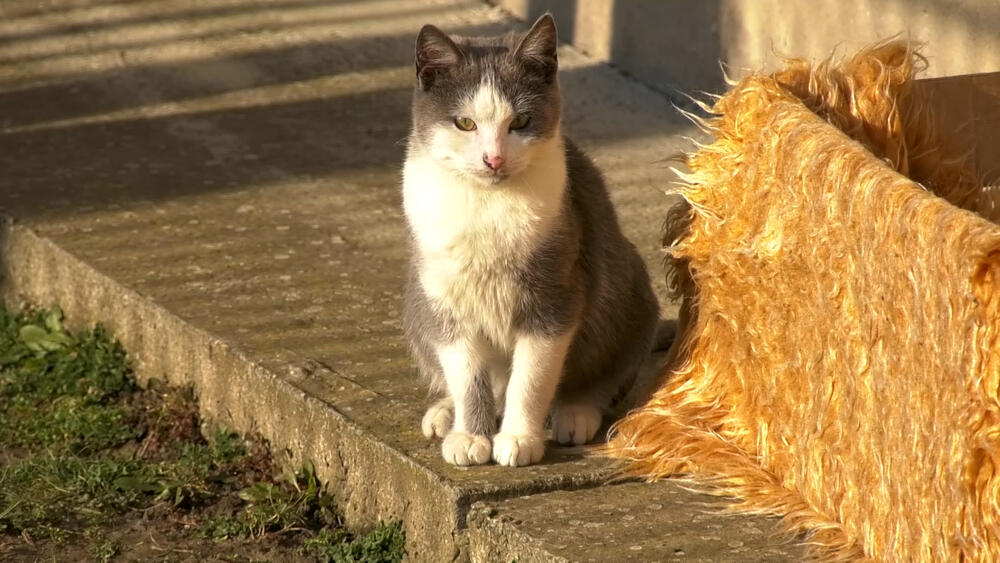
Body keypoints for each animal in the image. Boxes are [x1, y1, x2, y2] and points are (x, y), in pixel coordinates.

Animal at [402, 15, 660, 470]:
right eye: (464, 123)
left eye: (520, 122)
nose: (494, 159)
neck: (487, 206)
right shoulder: (444, 297)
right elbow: (466, 373)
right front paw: (470, 434)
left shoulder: (554, 297)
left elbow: (531, 377)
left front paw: (519, 438)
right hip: (416, 301)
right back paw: (445, 413)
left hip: (624, 286)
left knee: (603, 371)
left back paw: (575, 411)